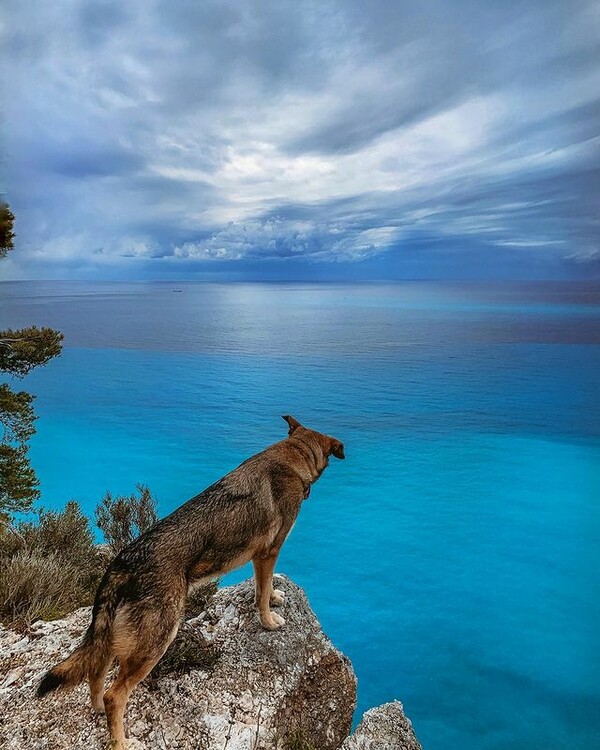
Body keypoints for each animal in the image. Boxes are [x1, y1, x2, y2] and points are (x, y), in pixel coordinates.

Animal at [37, 418, 344, 750]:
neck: (292, 455)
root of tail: (122, 563)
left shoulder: (257, 556)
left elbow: (262, 588)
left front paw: (274, 596)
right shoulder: (268, 552)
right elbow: (260, 596)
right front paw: (269, 621)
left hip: (113, 636)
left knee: (96, 674)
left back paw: (98, 713)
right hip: (156, 640)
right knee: (114, 695)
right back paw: (121, 741)